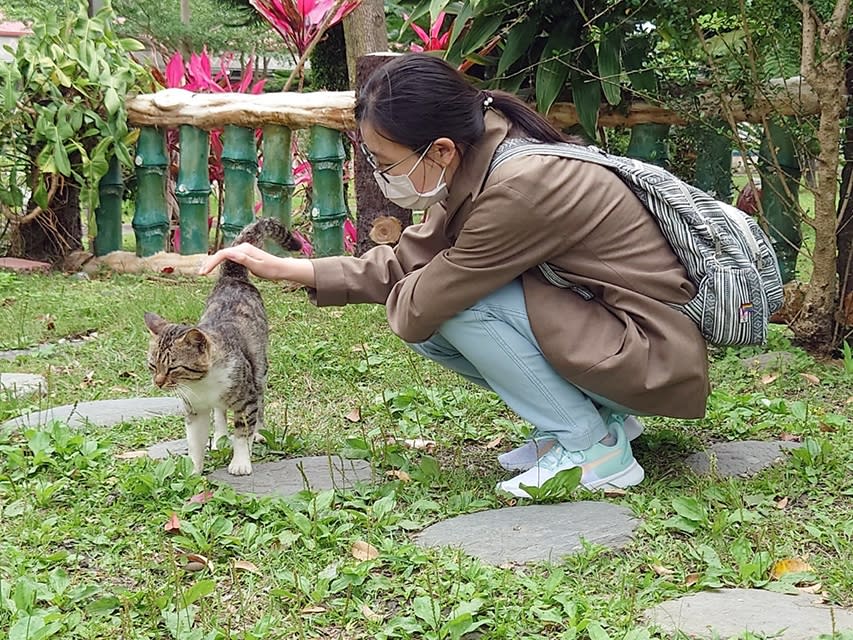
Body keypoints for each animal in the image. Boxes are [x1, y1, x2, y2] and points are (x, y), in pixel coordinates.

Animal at [146, 220, 302, 476]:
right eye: (152, 365)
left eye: (173, 368)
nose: (158, 383)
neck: (201, 385)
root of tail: (232, 277)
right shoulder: (194, 409)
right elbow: (195, 441)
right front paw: (193, 471)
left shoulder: (246, 397)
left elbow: (242, 431)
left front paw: (240, 462)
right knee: (219, 412)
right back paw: (219, 437)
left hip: (259, 368)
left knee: (260, 402)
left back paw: (259, 433)